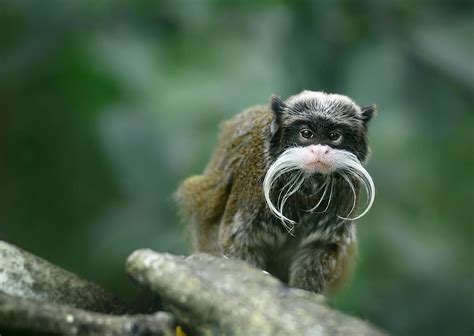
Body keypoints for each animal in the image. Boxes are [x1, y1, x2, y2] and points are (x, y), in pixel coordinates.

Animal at [176, 90, 376, 292]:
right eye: (306, 133)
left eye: (334, 136)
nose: (320, 151)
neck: (308, 183)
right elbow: (239, 240)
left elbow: (320, 247)